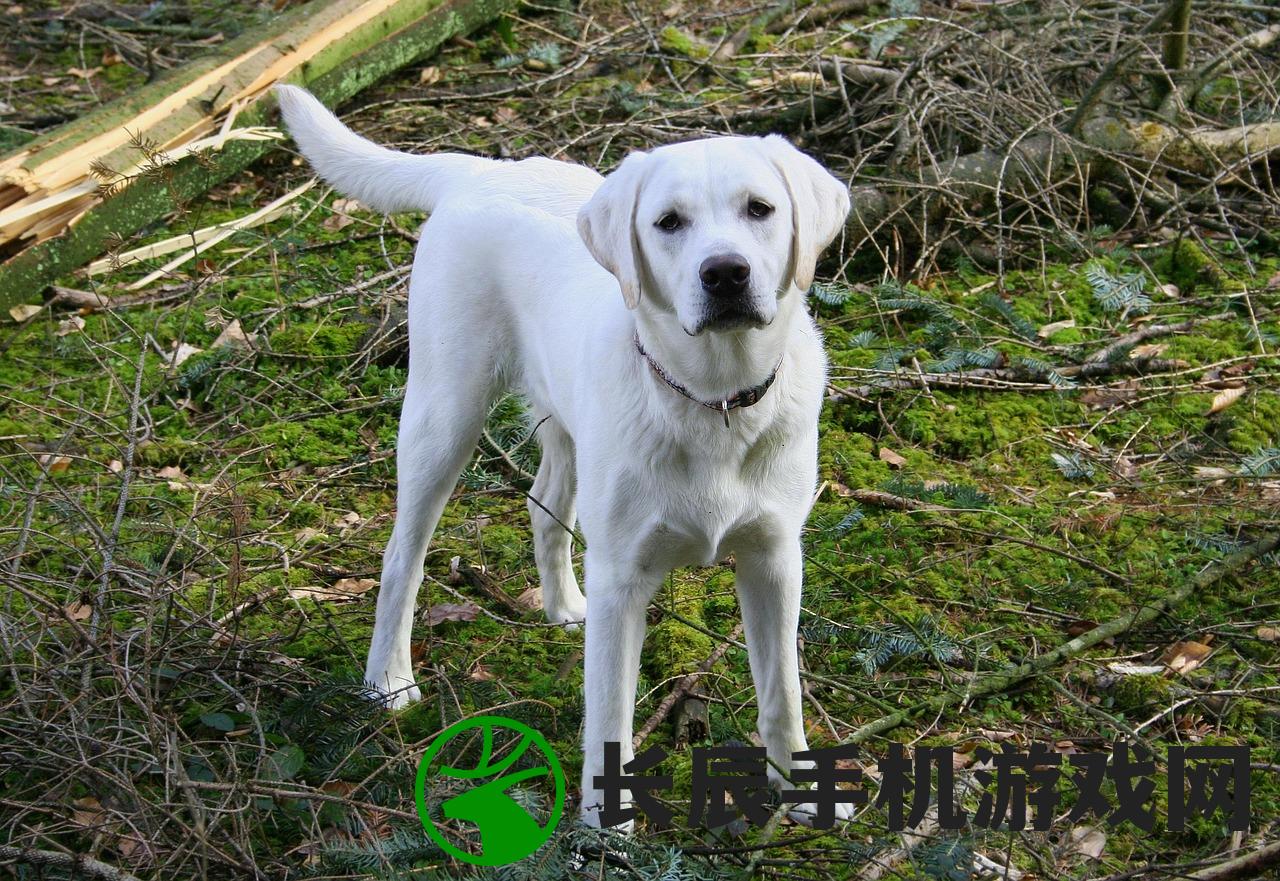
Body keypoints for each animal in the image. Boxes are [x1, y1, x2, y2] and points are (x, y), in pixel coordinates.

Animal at [275, 85, 849, 829]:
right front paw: (608, 825)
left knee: (544, 506)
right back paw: (390, 680)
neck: (713, 401)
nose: (725, 273)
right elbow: (608, 711)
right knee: (403, 555)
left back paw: (560, 605)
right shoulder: (622, 580)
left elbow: (782, 692)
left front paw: (802, 791)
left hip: (570, 430)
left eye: (760, 209)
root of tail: (478, 170)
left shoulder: (774, 560)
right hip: (443, 418)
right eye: (668, 222)